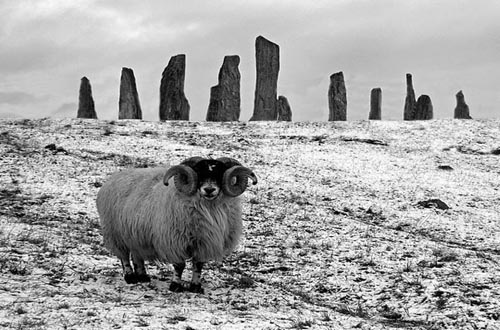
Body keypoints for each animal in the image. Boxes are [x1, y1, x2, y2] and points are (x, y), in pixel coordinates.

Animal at [95, 157, 258, 294]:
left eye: (219, 173)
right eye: (199, 173)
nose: (209, 189)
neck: (208, 208)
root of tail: (114, 177)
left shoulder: (202, 243)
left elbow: (198, 265)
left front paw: (196, 287)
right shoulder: (174, 240)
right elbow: (179, 265)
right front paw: (175, 285)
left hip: (135, 234)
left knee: (137, 255)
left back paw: (143, 276)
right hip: (115, 232)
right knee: (123, 256)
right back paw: (130, 277)